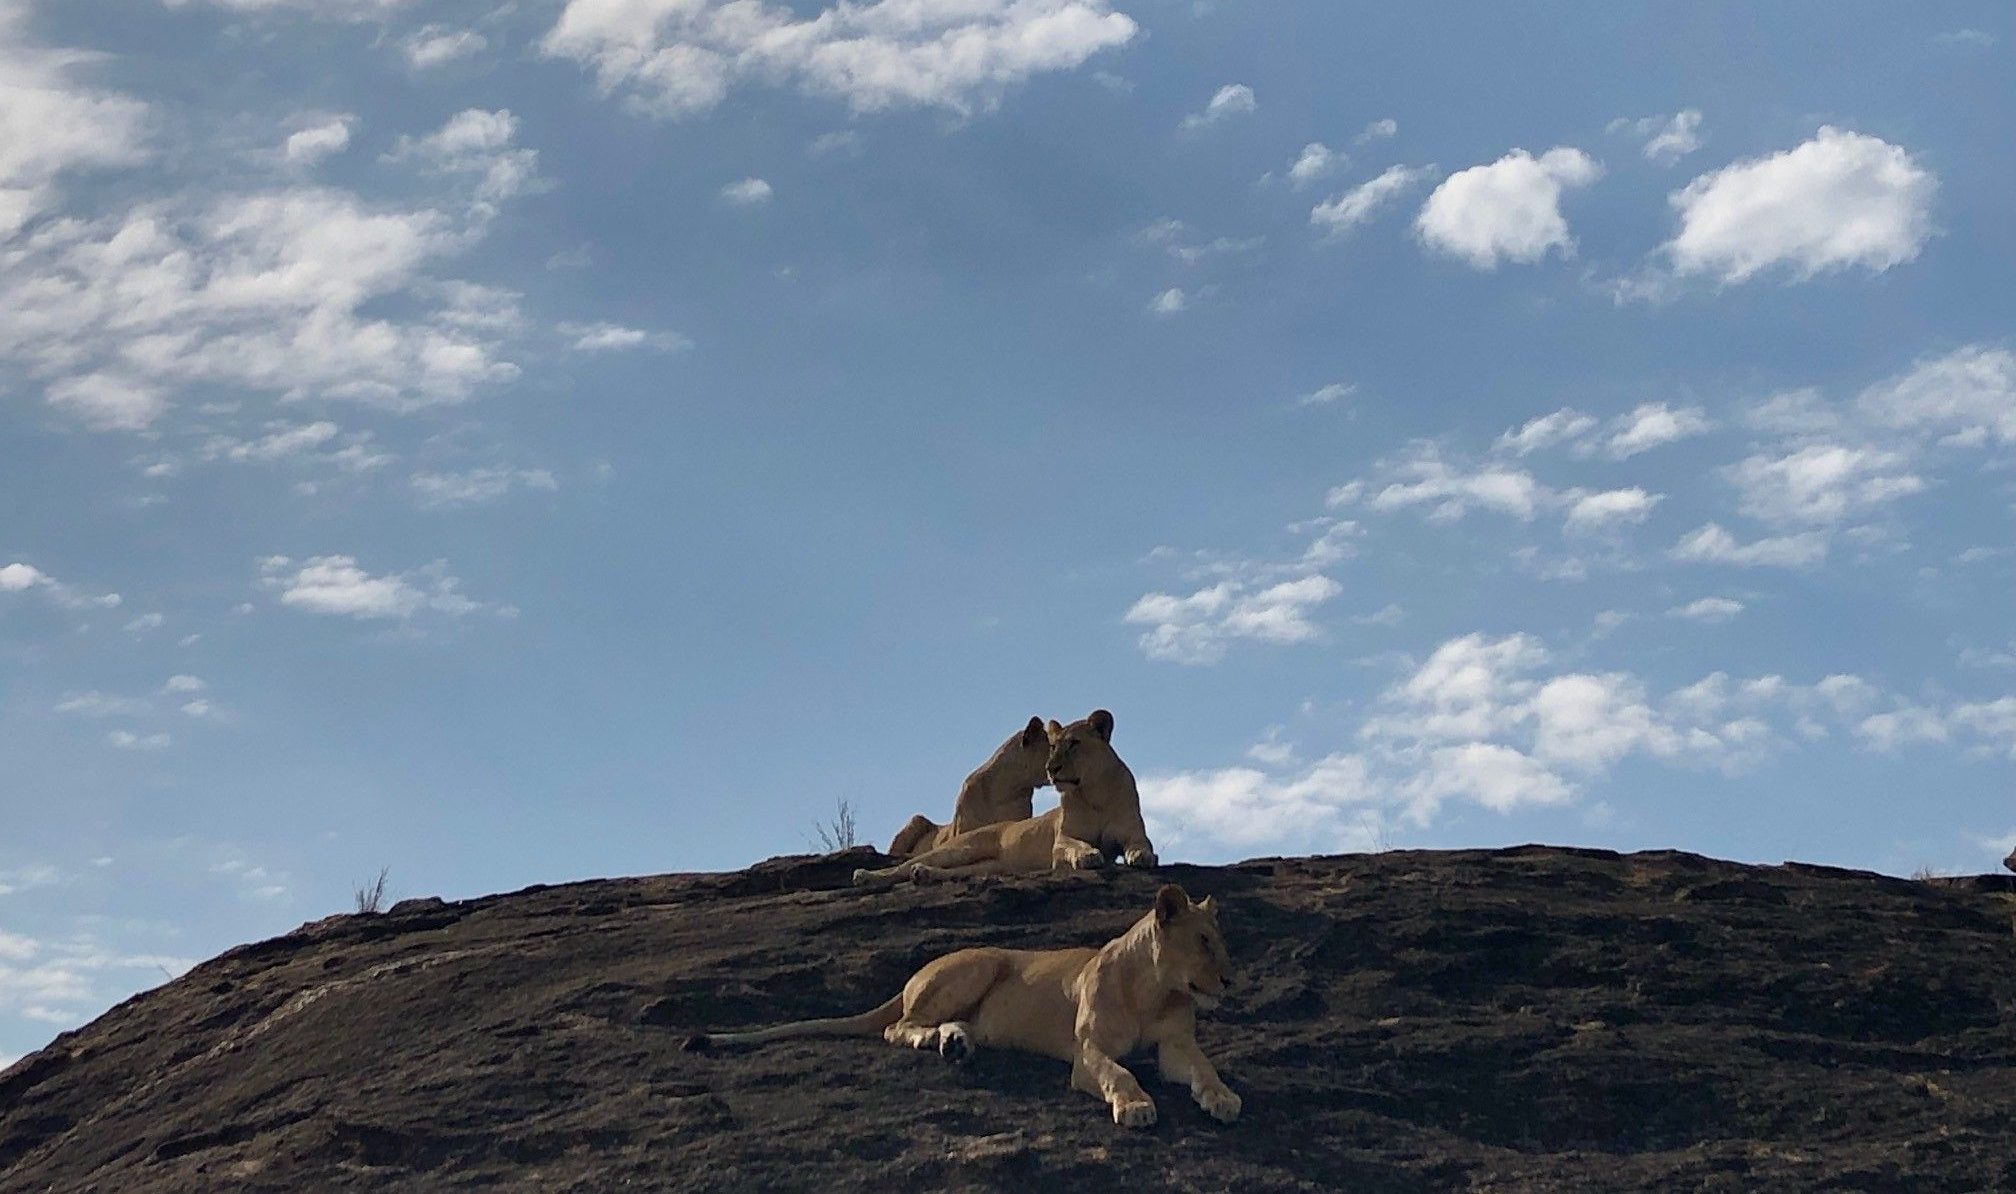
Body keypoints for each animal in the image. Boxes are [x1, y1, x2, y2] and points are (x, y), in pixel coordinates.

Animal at [685, 887, 1233, 1129]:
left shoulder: (1175, 1045)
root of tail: (912, 974)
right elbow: (1118, 1073)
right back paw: (940, 1040)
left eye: (1221, 941)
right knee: (898, 1027)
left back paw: (956, 1041)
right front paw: (1137, 1105)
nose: (1228, 981)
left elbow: (1204, 1068)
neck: (1154, 989)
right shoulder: (1087, 1052)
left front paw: (1222, 1098)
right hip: (982, 963)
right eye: (1204, 942)